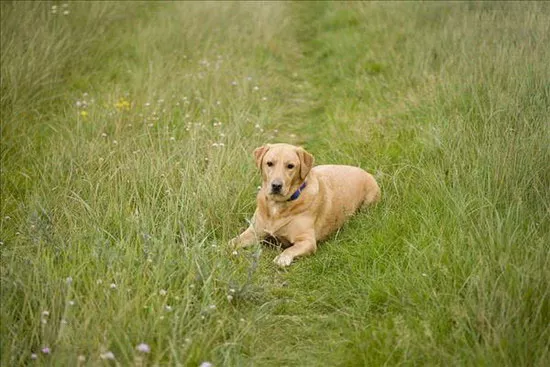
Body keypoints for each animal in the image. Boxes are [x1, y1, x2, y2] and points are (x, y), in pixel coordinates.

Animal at [231, 144, 382, 268]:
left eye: (290, 166)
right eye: (269, 163)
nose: (276, 185)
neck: (278, 206)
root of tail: (363, 171)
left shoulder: (307, 241)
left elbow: (290, 249)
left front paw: (282, 258)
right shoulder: (253, 232)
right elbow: (233, 242)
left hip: (368, 201)